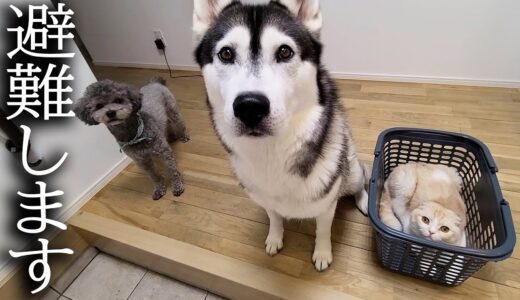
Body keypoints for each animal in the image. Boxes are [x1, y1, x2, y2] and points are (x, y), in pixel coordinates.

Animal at [193, 0, 368, 272]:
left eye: (285, 52)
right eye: (226, 54)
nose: (250, 107)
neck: (270, 153)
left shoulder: (327, 206)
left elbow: (323, 230)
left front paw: (322, 253)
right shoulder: (267, 201)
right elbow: (274, 218)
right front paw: (274, 238)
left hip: (352, 173)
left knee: (362, 182)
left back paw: (365, 202)